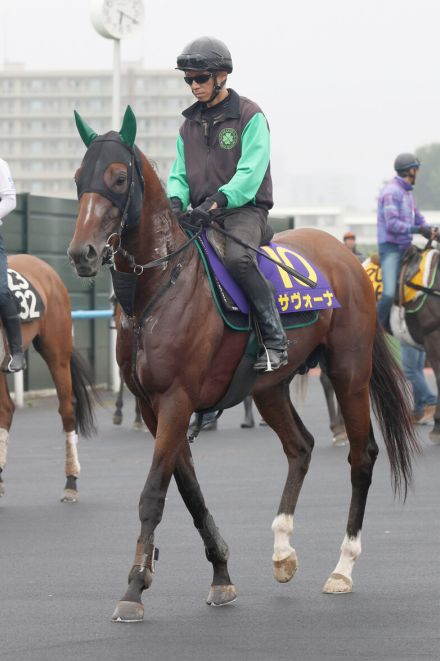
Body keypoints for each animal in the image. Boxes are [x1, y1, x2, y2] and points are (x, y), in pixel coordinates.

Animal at [66, 107, 420, 620]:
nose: (83, 254)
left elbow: (154, 493)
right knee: (300, 447)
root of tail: (348, 257)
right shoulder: (154, 408)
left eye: (117, 177)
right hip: (270, 387)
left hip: (349, 373)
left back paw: (343, 567)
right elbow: (189, 491)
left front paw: (133, 587)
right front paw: (220, 575)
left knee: (363, 456)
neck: (161, 287)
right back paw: (283, 551)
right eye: (78, 178)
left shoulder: (176, 401)